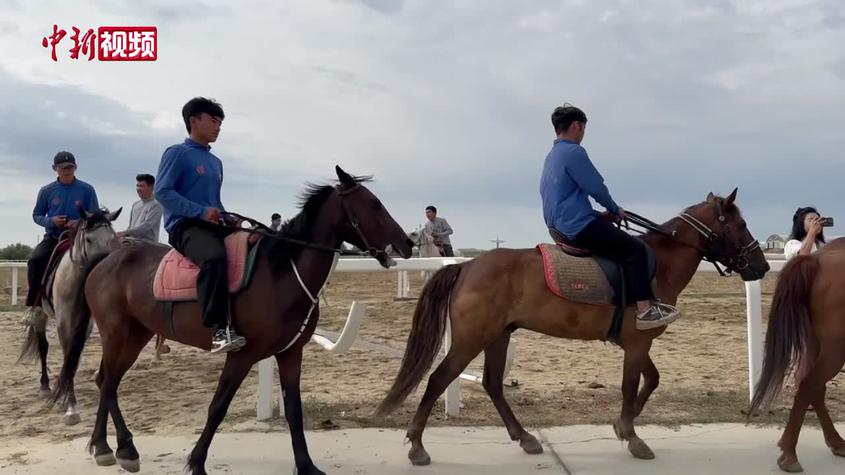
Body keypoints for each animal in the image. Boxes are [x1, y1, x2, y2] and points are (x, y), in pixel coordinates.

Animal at [51, 165, 414, 474]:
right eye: (374, 205)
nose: (407, 244)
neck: (281, 270)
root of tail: (104, 258)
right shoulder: (241, 355)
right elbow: (218, 407)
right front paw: (196, 463)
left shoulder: (290, 353)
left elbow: (294, 411)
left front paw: (307, 465)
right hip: (116, 333)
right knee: (108, 382)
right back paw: (119, 447)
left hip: (137, 334)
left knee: (105, 380)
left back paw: (107, 447)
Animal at [376, 188, 772, 466]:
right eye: (740, 225)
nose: (763, 266)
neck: (658, 262)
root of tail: (468, 266)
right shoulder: (636, 343)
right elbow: (631, 386)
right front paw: (632, 436)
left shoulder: (635, 343)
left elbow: (651, 380)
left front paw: (622, 425)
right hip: (471, 340)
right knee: (438, 379)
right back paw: (417, 446)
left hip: (498, 336)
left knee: (492, 384)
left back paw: (525, 437)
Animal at [748, 238, 844, 472]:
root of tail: (816, 260)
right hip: (835, 349)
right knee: (809, 385)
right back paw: (790, 455)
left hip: (815, 344)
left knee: (812, 386)